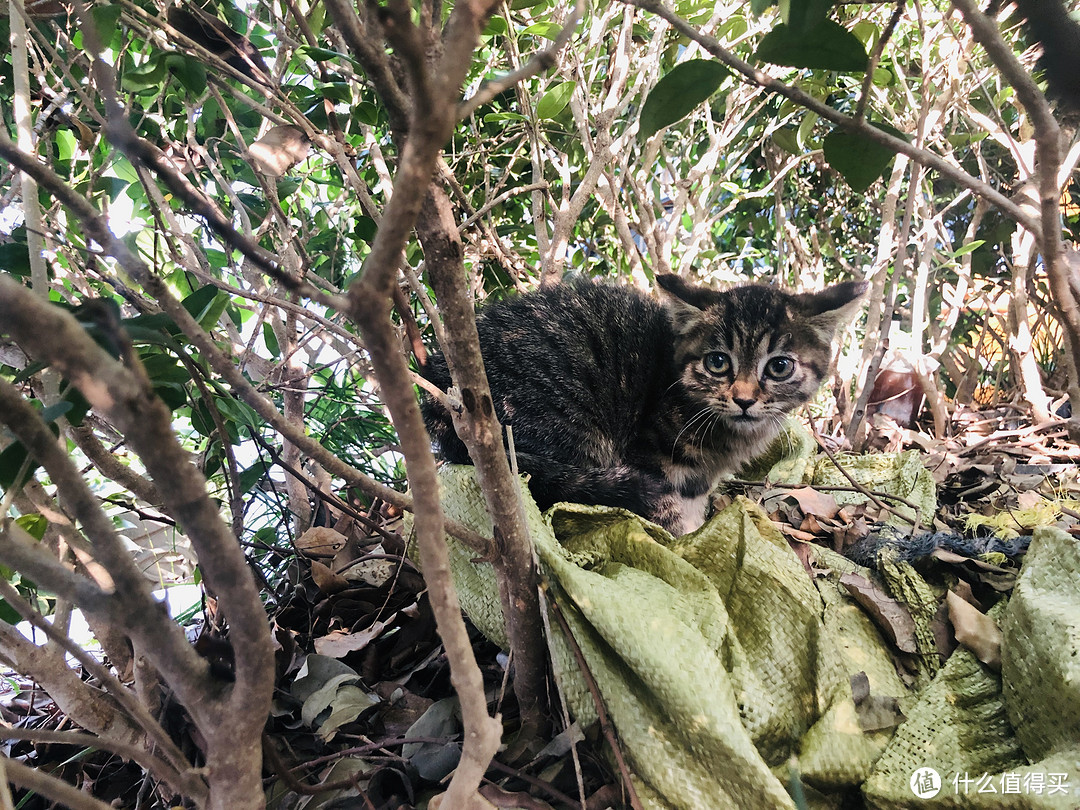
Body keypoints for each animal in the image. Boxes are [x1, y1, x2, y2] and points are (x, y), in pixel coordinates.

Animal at [416, 276, 864, 535]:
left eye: (780, 366)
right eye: (718, 362)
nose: (744, 399)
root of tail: (438, 399)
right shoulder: (650, 454)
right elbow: (667, 511)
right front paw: (681, 544)